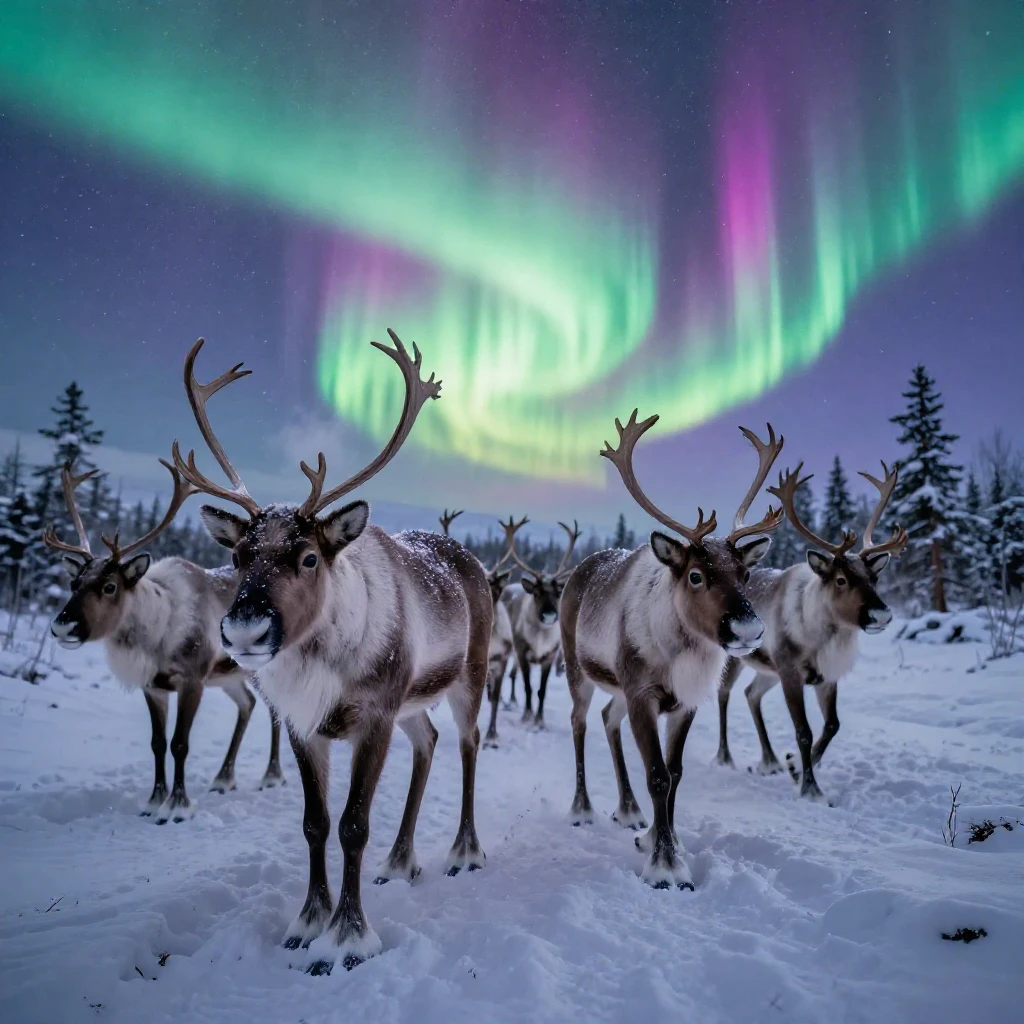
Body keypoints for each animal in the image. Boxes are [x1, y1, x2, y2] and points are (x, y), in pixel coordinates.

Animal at [44, 460, 283, 825]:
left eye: (110, 586)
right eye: (74, 582)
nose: (62, 626)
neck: (155, 635)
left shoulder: (192, 680)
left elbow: (179, 743)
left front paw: (177, 806)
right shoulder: (153, 686)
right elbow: (157, 742)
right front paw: (153, 801)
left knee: (275, 712)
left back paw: (271, 776)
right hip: (230, 675)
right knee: (247, 704)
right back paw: (223, 779)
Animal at [173, 330, 492, 975]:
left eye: (309, 557)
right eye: (239, 556)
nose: (243, 631)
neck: (321, 662)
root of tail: (473, 562)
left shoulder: (374, 717)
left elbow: (353, 825)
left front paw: (350, 937)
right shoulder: (303, 724)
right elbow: (315, 824)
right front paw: (306, 923)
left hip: (469, 678)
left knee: (468, 747)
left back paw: (463, 851)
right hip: (413, 703)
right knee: (429, 742)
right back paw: (400, 860)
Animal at [501, 518, 581, 727]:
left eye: (558, 592)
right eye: (536, 593)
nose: (550, 615)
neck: (540, 640)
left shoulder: (549, 656)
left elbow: (541, 691)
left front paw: (539, 720)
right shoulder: (522, 652)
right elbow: (528, 687)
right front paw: (527, 716)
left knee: (513, 675)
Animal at [560, 414, 783, 889]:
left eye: (745, 573)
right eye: (696, 575)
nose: (749, 628)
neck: (681, 655)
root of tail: (579, 571)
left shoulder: (685, 702)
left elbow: (676, 772)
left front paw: (666, 841)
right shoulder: (643, 695)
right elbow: (658, 775)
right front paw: (666, 866)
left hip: (618, 688)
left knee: (608, 719)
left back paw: (629, 810)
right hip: (578, 670)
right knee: (579, 722)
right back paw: (582, 807)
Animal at [714, 461, 907, 803]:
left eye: (874, 578)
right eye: (841, 579)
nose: (881, 614)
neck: (823, 637)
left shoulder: (826, 677)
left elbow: (832, 725)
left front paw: (794, 766)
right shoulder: (791, 672)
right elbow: (803, 730)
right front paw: (810, 788)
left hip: (767, 669)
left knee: (751, 694)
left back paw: (770, 761)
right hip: (737, 657)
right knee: (724, 693)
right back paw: (726, 757)